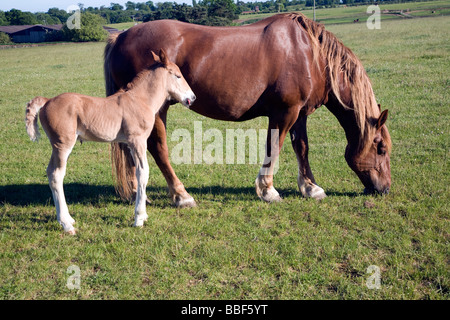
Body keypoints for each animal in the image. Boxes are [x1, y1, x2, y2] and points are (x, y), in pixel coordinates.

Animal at [104, 12, 390, 206]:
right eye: (381, 148)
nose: (385, 189)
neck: (310, 53)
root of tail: (121, 36)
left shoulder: (299, 114)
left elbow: (302, 148)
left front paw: (310, 188)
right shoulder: (284, 112)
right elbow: (274, 147)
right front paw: (268, 190)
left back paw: (136, 193)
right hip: (156, 110)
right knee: (158, 147)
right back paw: (181, 195)